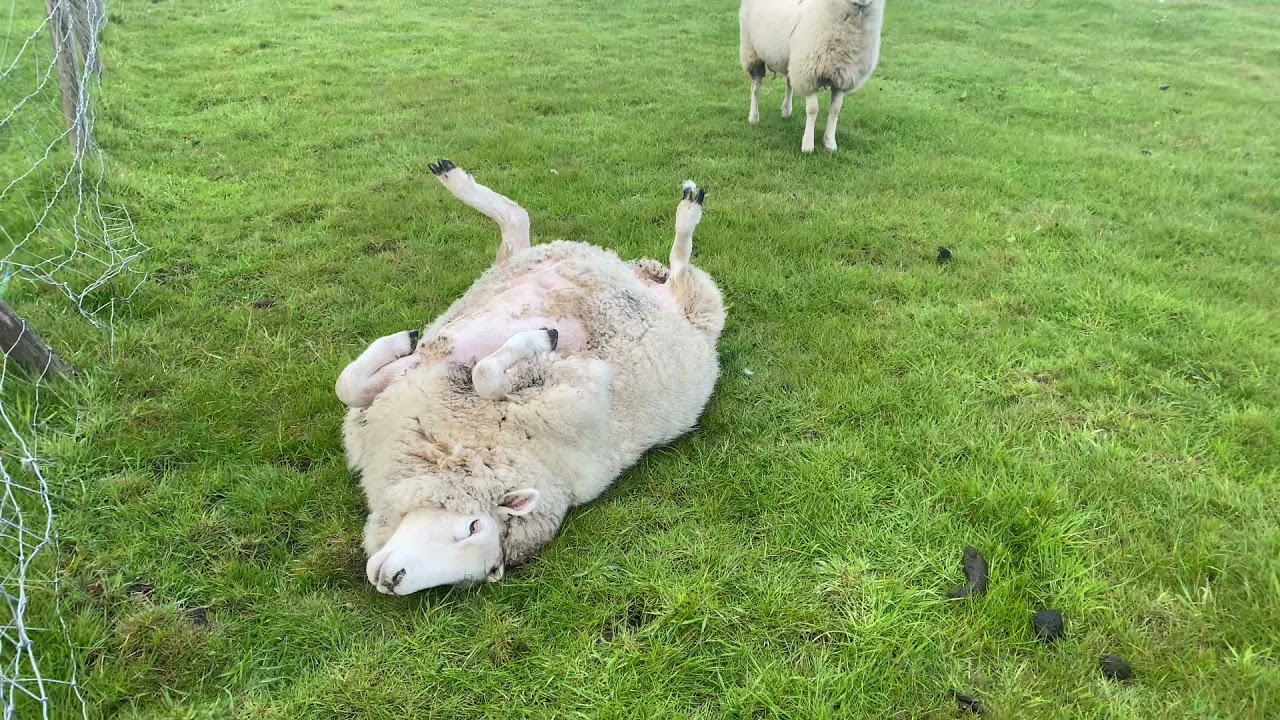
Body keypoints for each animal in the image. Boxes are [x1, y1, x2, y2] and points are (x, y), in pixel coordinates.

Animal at [335, 162, 727, 594]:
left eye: (475, 528)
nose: (392, 580)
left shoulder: (573, 386)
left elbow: (485, 374)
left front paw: (538, 339)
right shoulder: (402, 386)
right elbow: (349, 385)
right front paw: (400, 342)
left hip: (693, 305)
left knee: (681, 266)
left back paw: (688, 211)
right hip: (507, 269)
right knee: (517, 226)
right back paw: (455, 180)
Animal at [737, 0, 885, 151]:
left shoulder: (841, 78)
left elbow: (835, 110)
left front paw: (830, 142)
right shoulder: (808, 75)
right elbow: (813, 109)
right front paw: (808, 144)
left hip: (792, 59)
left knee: (789, 83)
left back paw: (786, 110)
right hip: (752, 51)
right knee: (756, 87)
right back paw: (754, 117)